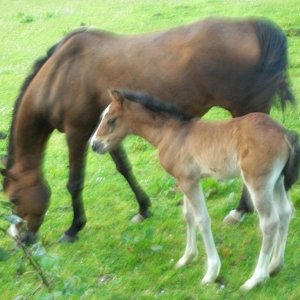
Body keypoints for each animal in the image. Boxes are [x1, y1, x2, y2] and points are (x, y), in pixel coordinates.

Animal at [1, 16, 292, 243]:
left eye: (13, 199)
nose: (21, 239)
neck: (60, 75)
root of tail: (255, 28)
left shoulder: (78, 133)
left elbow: (75, 183)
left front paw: (73, 228)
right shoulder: (106, 131)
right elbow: (124, 168)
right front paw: (143, 208)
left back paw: (240, 210)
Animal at [91, 89, 300, 290]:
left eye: (110, 119)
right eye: (102, 117)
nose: (94, 145)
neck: (171, 134)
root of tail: (284, 133)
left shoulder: (188, 182)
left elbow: (202, 220)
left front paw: (211, 272)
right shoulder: (186, 179)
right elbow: (188, 216)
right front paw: (187, 258)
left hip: (258, 183)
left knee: (269, 223)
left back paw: (255, 279)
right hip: (277, 181)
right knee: (285, 212)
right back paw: (275, 266)